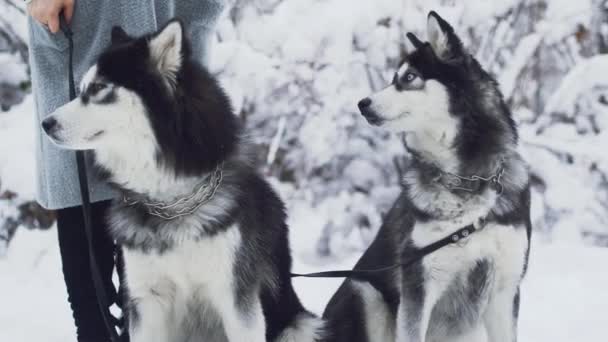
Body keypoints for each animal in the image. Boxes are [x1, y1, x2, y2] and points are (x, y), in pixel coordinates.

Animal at [41, 20, 324, 342]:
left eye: (99, 88)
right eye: (81, 89)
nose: (45, 124)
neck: (172, 202)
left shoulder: (236, 300)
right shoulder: (146, 299)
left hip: (300, 326)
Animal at [324, 10, 532, 342]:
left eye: (409, 78)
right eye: (394, 77)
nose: (362, 104)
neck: (468, 182)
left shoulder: (504, 288)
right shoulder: (418, 284)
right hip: (364, 290)